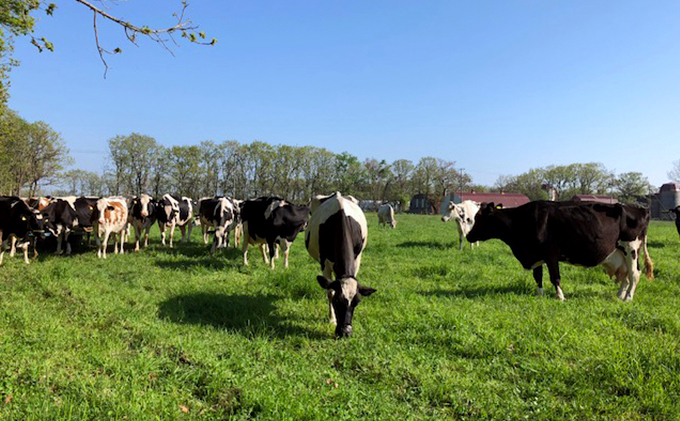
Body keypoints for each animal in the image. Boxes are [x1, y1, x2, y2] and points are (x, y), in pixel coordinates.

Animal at [306, 192, 378, 336]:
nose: (346, 332)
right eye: (337, 301)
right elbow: (330, 291)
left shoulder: (357, 259)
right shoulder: (324, 262)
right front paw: (332, 320)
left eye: (357, 302)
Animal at [468, 201, 652, 302]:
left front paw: (560, 297)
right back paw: (620, 295)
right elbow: (538, 277)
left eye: (480, 219)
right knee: (626, 275)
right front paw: (540, 295)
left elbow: (554, 277)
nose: (469, 236)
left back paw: (628, 298)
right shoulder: (537, 255)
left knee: (635, 274)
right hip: (621, 253)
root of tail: (641, 209)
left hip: (631, 248)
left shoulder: (551, 255)